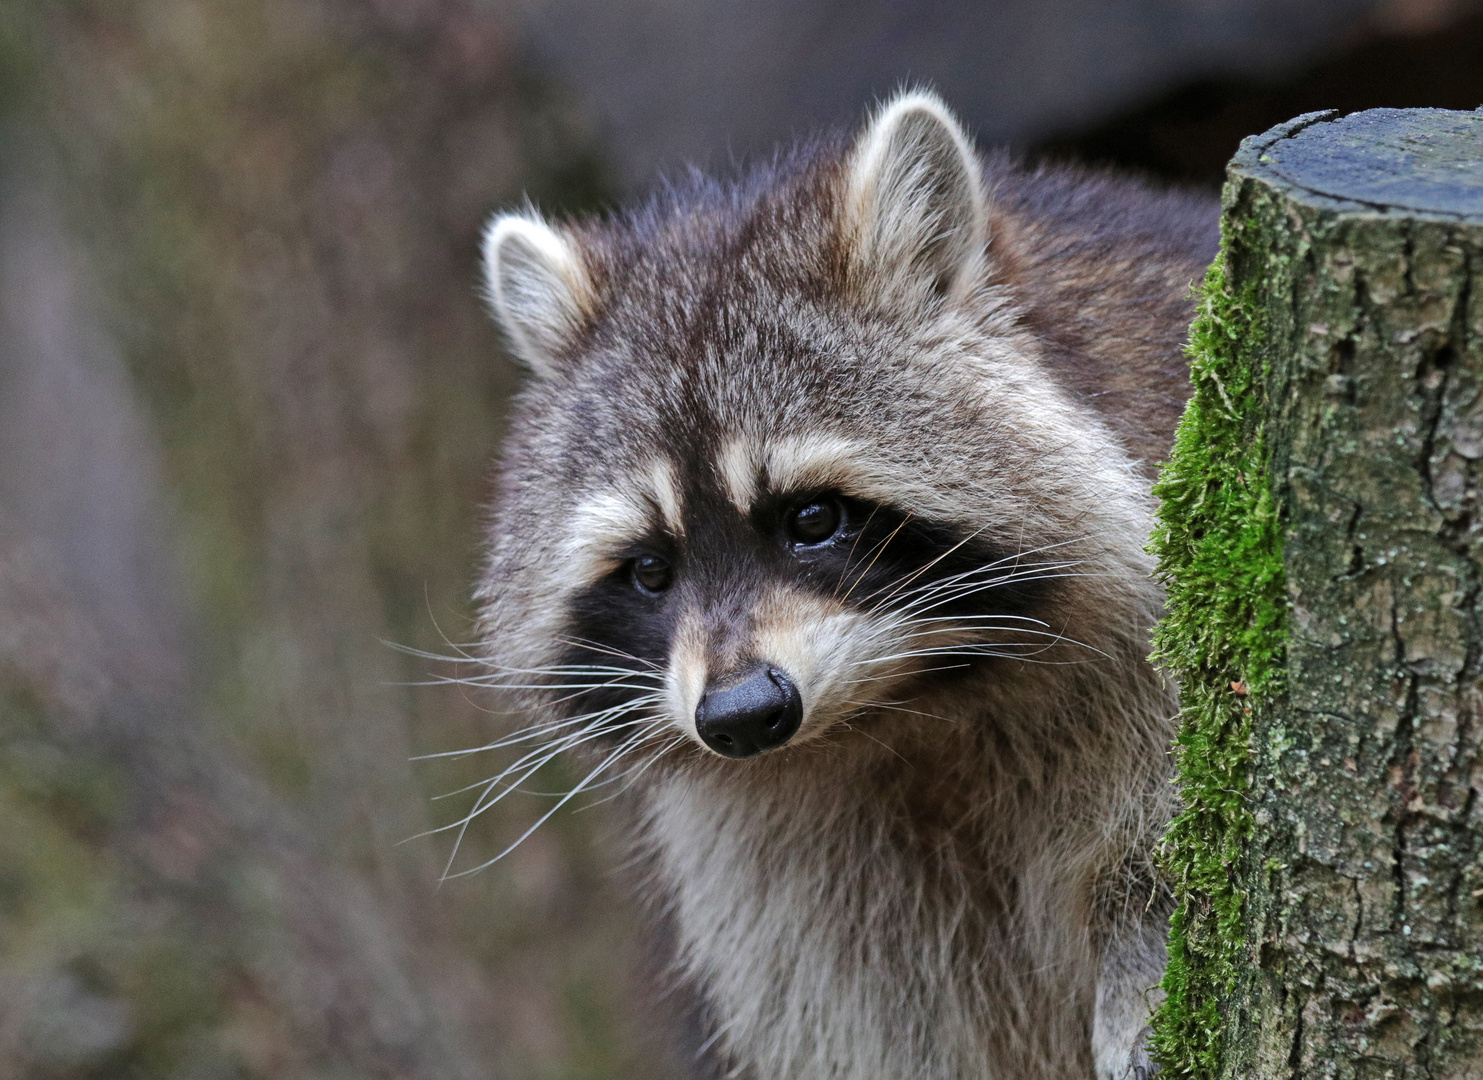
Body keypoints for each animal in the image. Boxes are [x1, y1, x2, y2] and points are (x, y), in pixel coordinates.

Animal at [474, 88, 1216, 1074]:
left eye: (813, 519)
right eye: (650, 570)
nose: (741, 715)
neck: (909, 703)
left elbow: (1156, 861)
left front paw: (1140, 970)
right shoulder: (794, 868)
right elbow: (875, 1023)